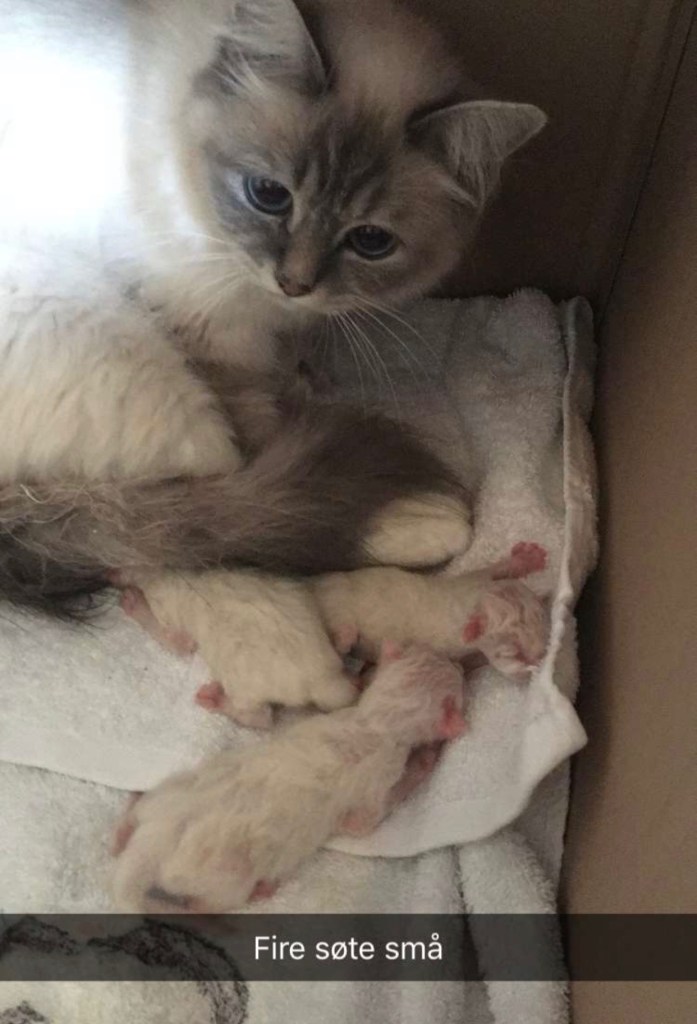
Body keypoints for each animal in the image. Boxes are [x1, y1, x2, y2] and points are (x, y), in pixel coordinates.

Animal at [0, 0, 546, 616]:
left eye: (371, 241)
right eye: (269, 195)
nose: (293, 283)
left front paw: (308, 372)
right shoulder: (214, 340)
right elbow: (261, 441)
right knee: (212, 504)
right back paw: (428, 520)